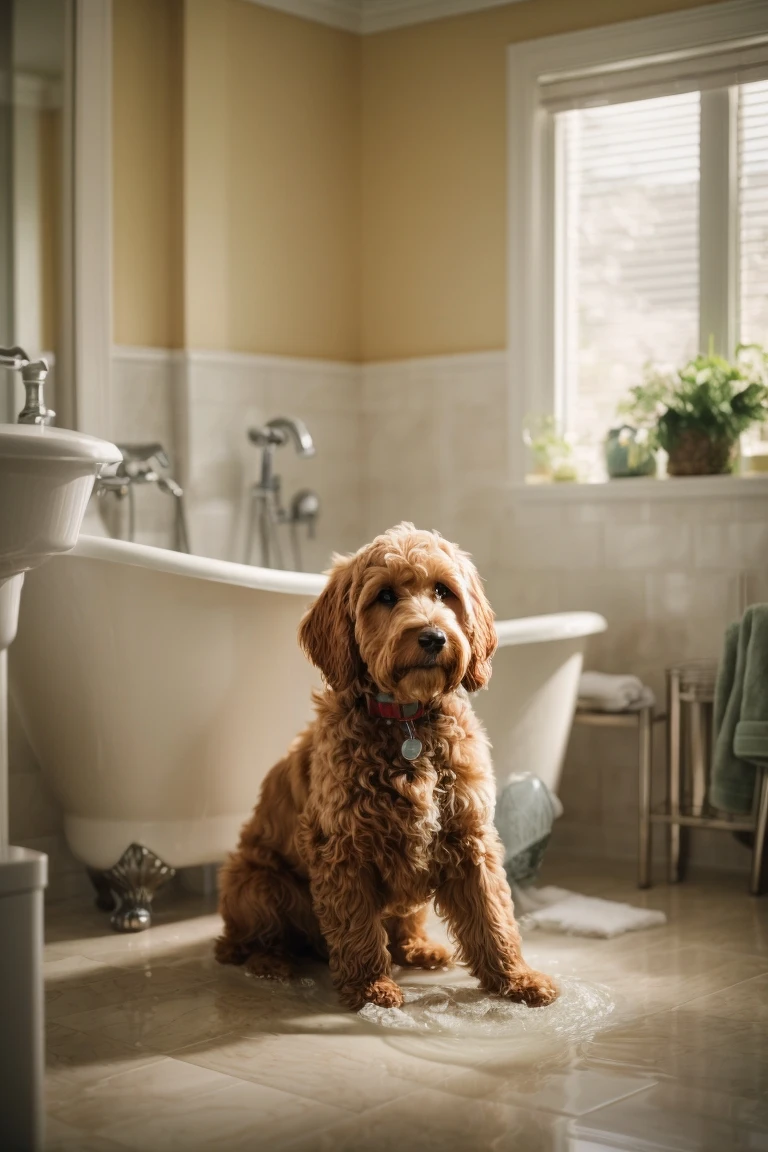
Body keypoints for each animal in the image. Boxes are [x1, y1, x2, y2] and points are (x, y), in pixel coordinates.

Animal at [216, 523, 559, 1009]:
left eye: (443, 591)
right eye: (385, 596)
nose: (433, 637)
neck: (407, 722)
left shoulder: (468, 836)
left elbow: (493, 916)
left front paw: (516, 978)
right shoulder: (344, 848)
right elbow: (357, 924)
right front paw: (369, 987)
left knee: (402, 925)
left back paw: (419, 948)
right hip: (258, 882)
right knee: (247, 941)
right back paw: (271, 962)